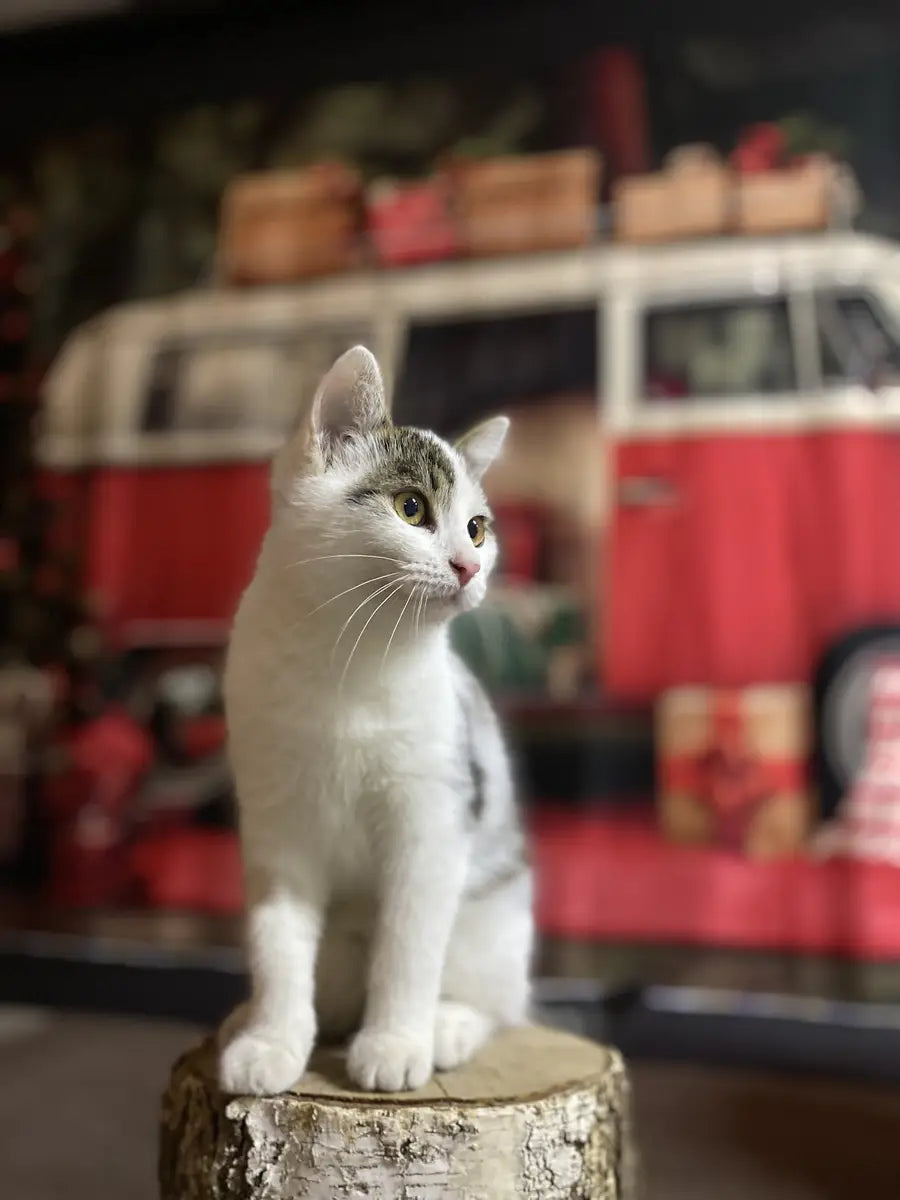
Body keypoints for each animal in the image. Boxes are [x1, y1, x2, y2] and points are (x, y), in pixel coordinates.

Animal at [218, 343, 532, 1094]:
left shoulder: (432, 818)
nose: (470, 565)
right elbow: (277, 944)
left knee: (500, 1002)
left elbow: (409, 942)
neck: (347, 664)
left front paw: (395, 1042)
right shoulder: (276, 823)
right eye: (410, 507)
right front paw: (271, 1041)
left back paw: (447, 1026)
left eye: (477, 527)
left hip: (495, 914)